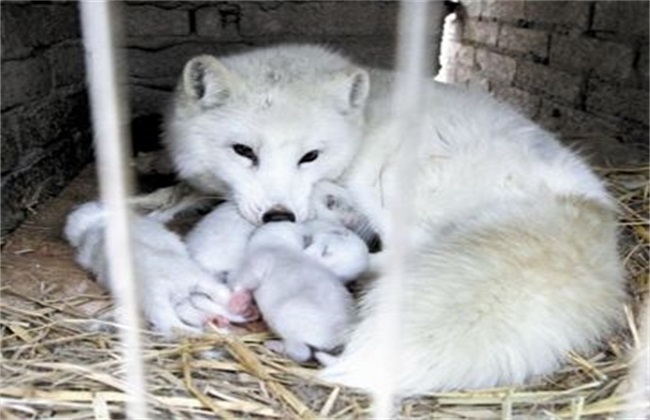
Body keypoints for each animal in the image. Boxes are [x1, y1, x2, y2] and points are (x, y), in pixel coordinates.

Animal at [156, 45, 624, 394]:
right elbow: (175, 195)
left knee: (399, 251)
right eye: (243, 151)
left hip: (391, 180)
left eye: (310, 156)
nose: (278, 215)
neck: (361, 121)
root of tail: (585, 200)